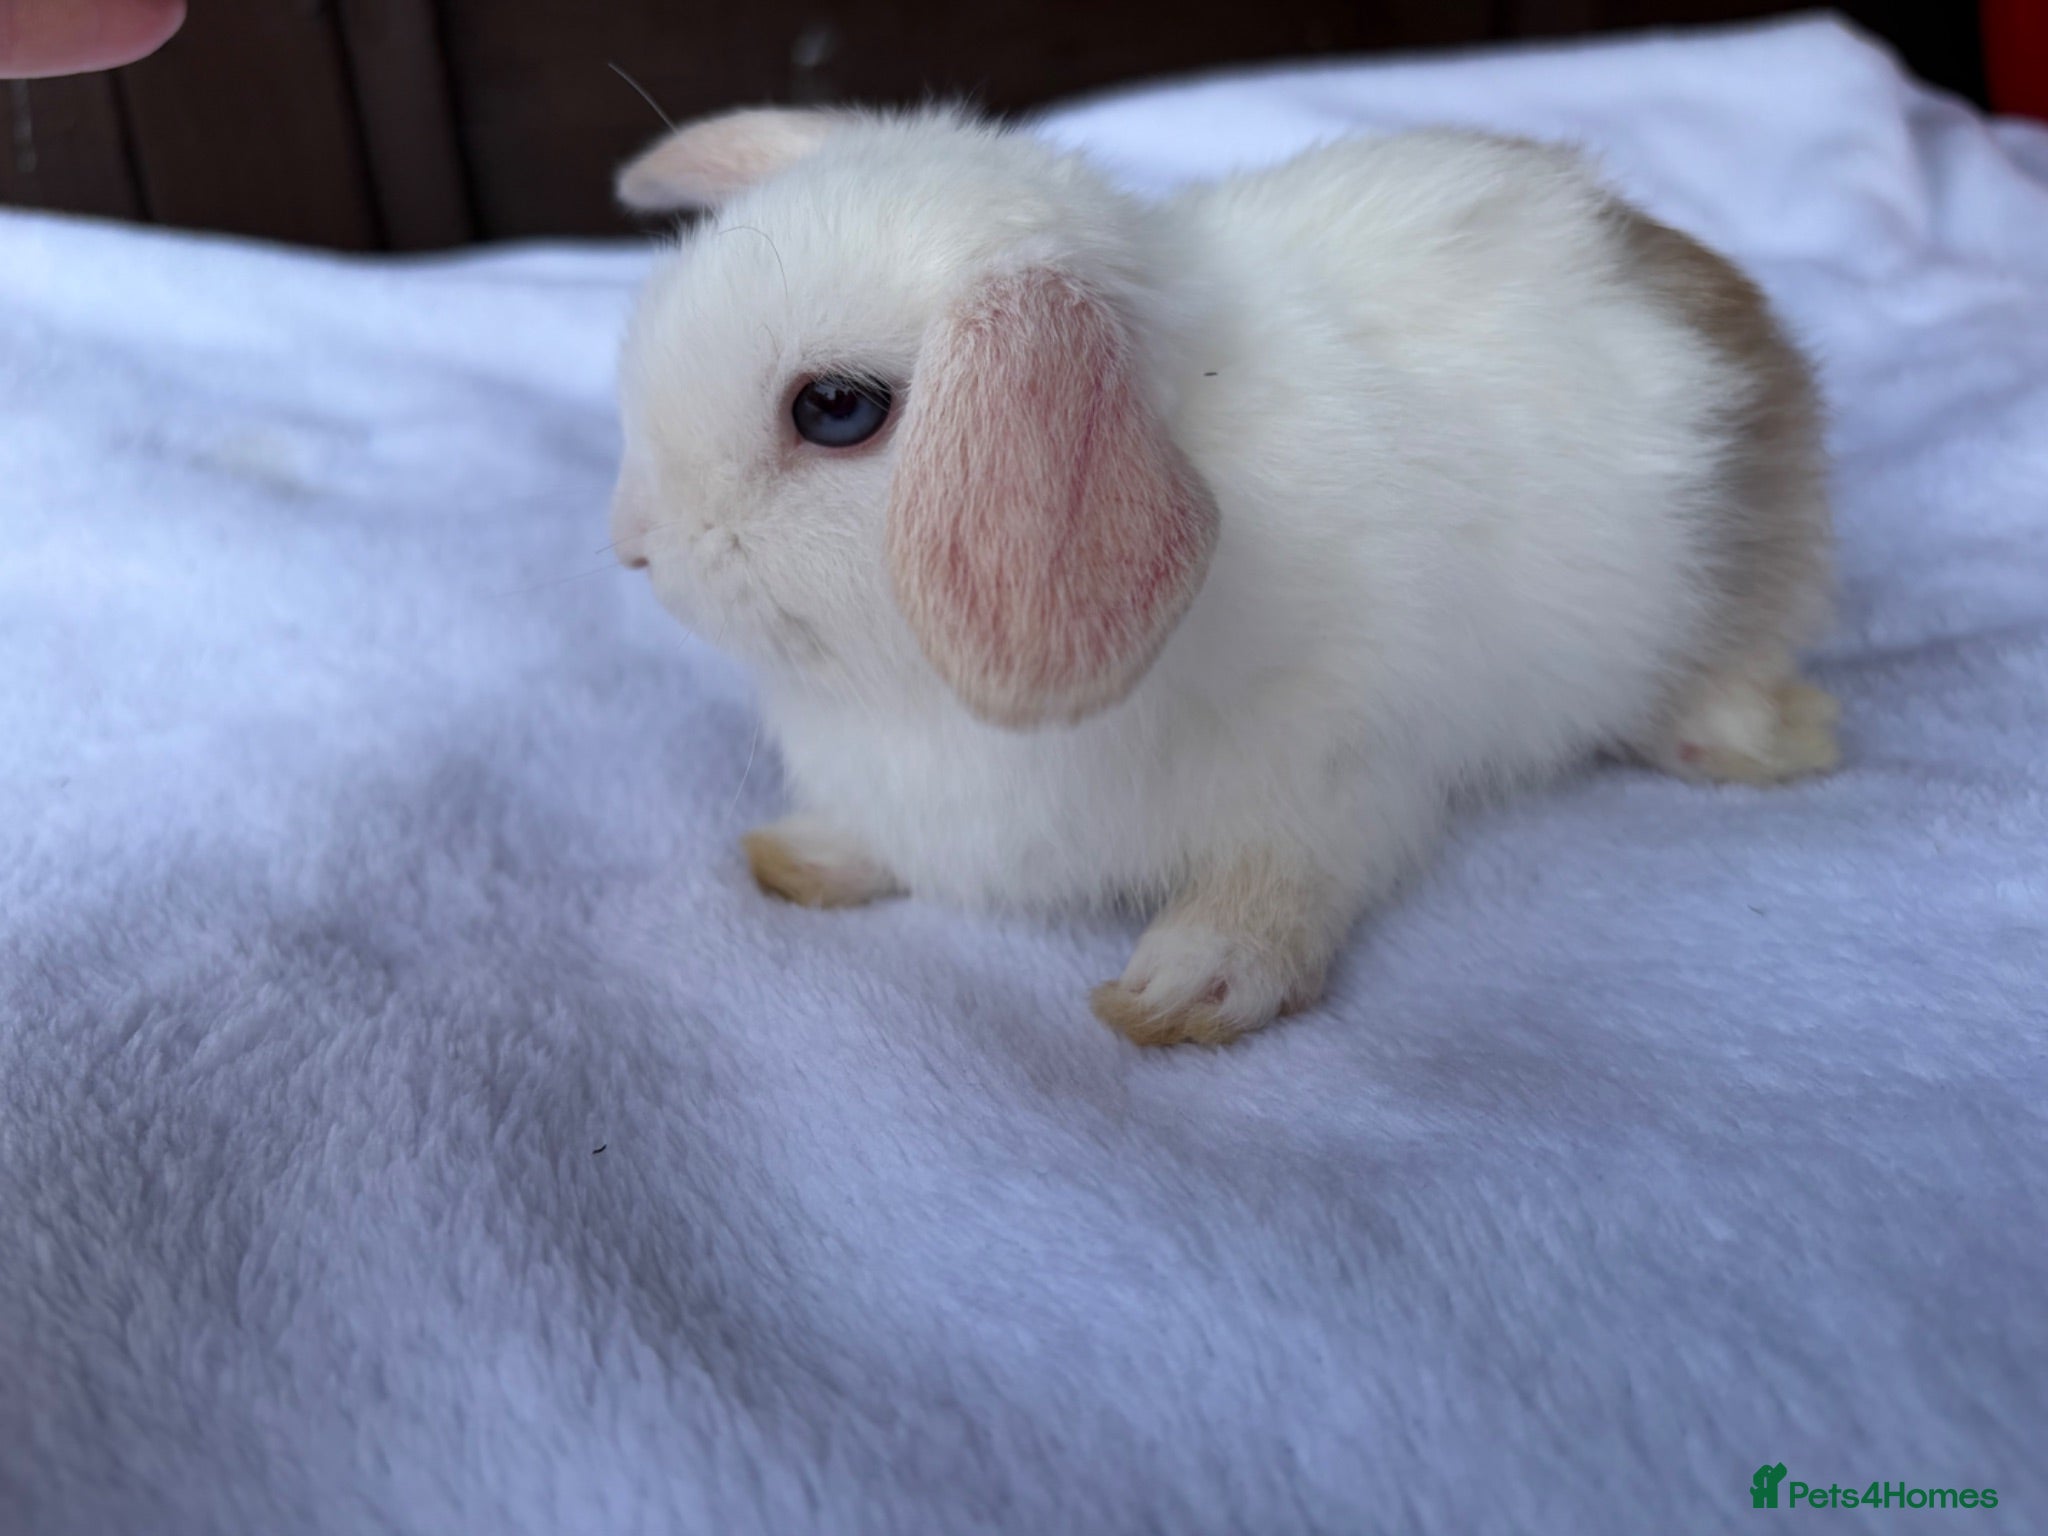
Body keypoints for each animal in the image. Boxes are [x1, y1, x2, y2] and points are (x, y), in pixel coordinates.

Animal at [607, 105, 1838, 1046]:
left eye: (835, 409)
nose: (633, 545)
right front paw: (803, 856)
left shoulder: (1337, 774)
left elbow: (1277, 887)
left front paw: (1182, 991)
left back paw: (1758, 741)